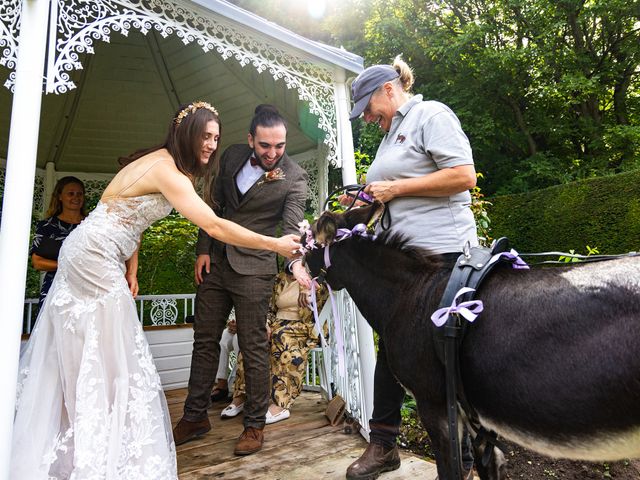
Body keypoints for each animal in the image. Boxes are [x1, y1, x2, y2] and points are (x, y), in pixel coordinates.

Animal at [302, 202, 640, 480]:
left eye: (306, 246)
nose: (297, 272)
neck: (409, 294)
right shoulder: (477, 420)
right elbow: (489, 464)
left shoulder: (435, 406)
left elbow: (450, 471)